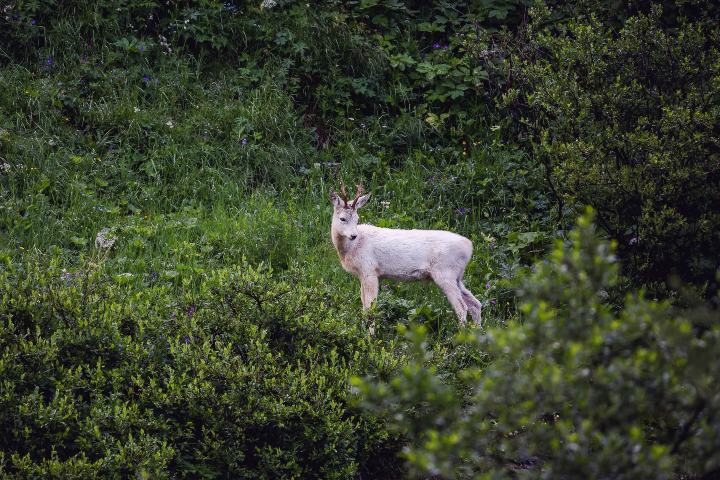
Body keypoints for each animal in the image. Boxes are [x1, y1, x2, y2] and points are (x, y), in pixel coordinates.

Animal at [330, 183, 482, 330]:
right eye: (342, 218)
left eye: (357, 219)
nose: (353, 235)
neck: (352, 248)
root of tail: (469, 246)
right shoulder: (362, 275)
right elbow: (363, 305)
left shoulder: (369, 270)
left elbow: (370, 307)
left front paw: (369, 336)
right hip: (457, 276)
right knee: (476, 304)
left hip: (445, 273)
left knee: (462, 308)